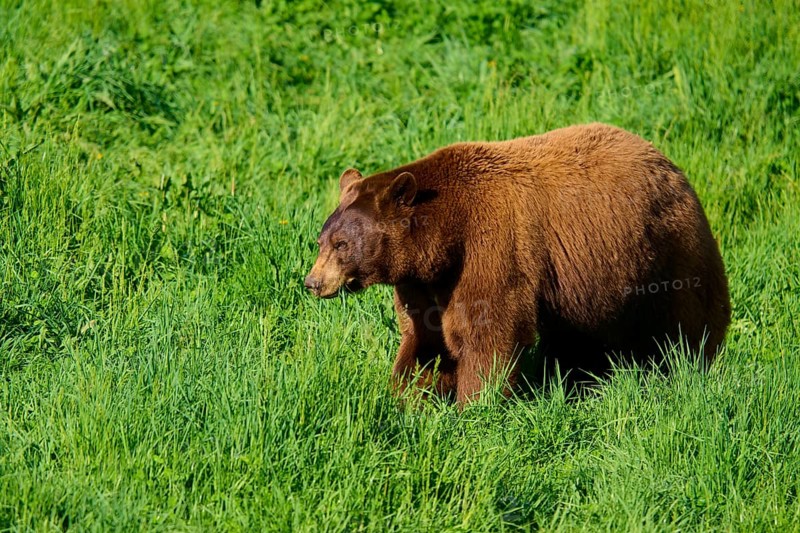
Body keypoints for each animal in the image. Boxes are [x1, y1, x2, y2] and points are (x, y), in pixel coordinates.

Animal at [305, 123, 731, 406]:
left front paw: (475, 404)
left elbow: (486, 329)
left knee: (688, 319)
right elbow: (425, 336)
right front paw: (407, 396)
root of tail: (667, 160)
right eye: (321, 241)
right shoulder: (423, 280)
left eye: (342, 245)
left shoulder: (491, 245)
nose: (312, 282)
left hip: (666, 249)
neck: (446, 232)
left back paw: (693, 365)